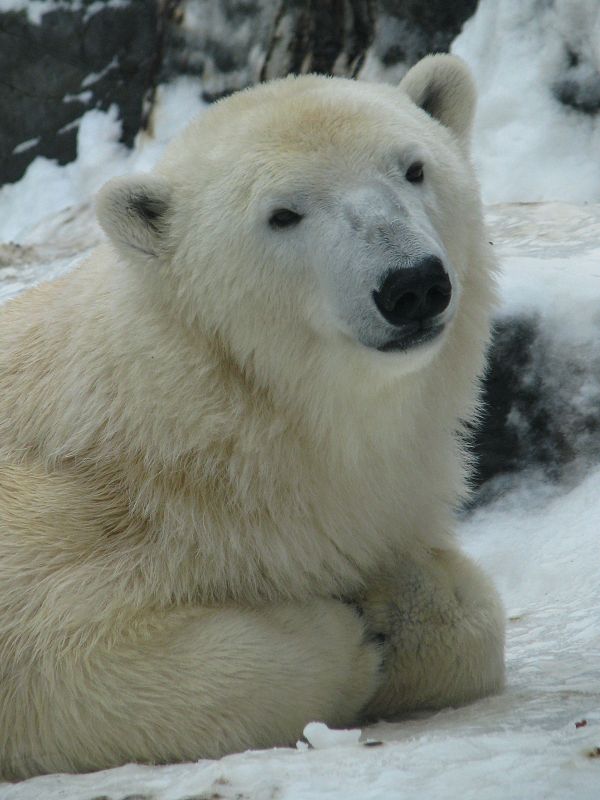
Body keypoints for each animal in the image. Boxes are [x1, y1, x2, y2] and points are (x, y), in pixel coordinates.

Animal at [0, 54, 504, 781]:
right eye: (283, 214)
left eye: (413, 168)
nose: (411, 284)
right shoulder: (63, 520)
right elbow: (59, 655)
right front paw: (347, 634)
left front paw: (400, 599)